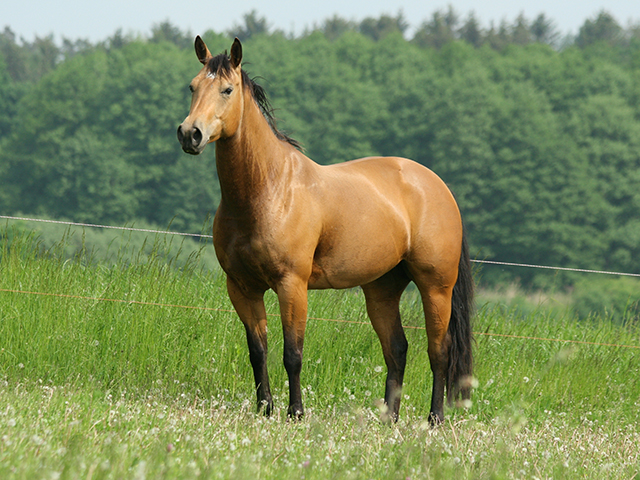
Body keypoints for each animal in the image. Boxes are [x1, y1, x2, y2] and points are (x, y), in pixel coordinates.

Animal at [178, 36, 472, 424]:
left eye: (227, 89)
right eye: (193, 86)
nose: (189, 134)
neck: (268, 190)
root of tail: (438, 187)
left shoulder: (292, 285)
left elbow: (292, 354)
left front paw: (296, 412)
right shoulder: (242, 287)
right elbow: (258, 350)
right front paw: (265, 408)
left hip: (436, 288)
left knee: (439, 351)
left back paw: (434, 418)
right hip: (381, 290)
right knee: (397, 349)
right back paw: (388, 420)